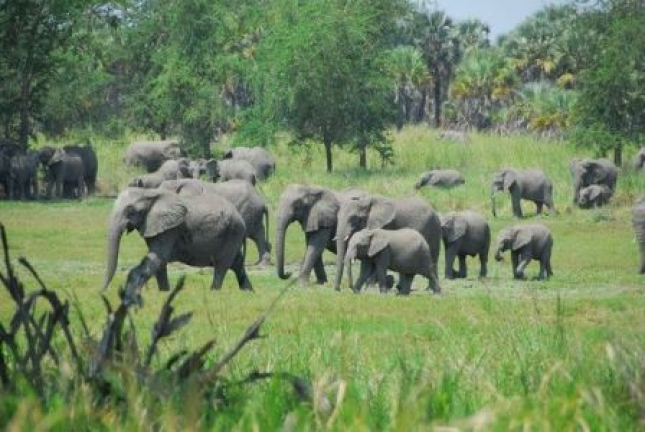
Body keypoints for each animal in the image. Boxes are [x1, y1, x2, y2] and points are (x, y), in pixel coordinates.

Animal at [103, 187, 252, 302]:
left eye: (131, 210)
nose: (102, 292)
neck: (149, 192)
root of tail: (241, 217)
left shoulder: (170, 230)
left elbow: (157, 258)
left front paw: (130, 295)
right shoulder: (155, 227)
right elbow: (159, 263)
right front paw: (164, 293)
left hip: (233, 232)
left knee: (222, 265)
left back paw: (214, 293)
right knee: (237, 264)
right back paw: (249, 292)